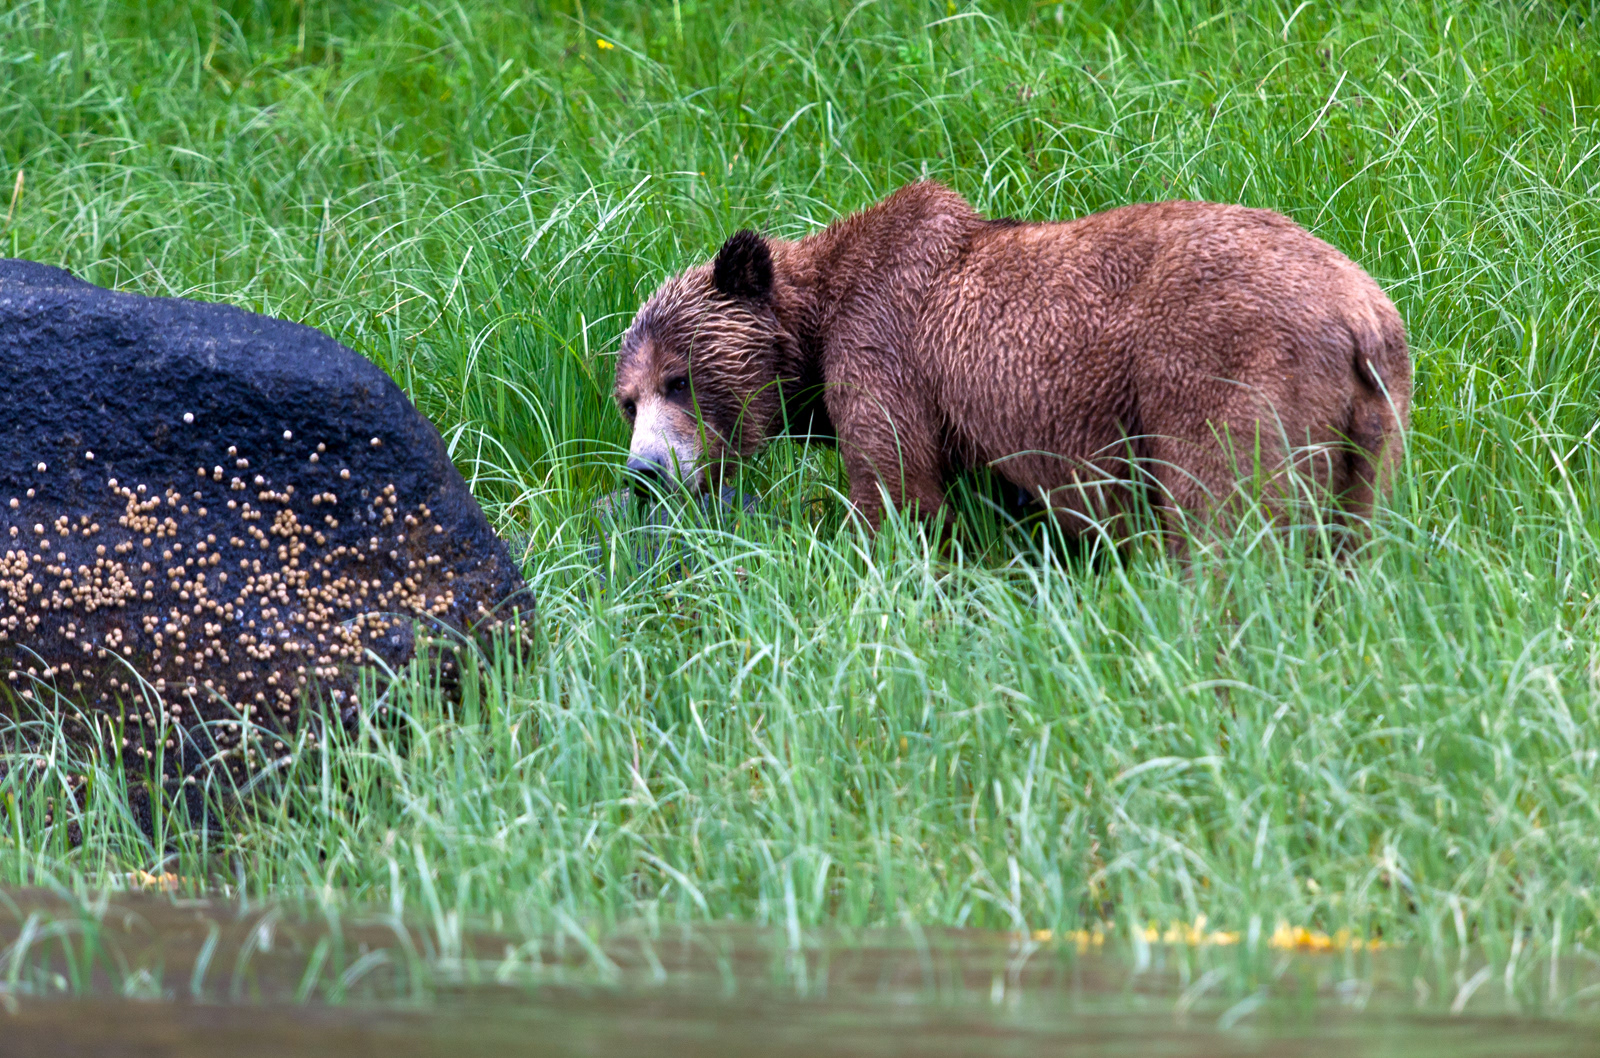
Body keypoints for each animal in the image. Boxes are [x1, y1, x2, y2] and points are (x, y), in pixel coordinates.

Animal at [612, 181, 1410, 546]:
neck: (816, 325)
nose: (646, 471)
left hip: (1221, 364)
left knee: (1223, 512)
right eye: (628, 400)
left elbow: (897, 486)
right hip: (1372, 414)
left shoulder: (885, 350)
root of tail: (1359, 313)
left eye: (679, 380)